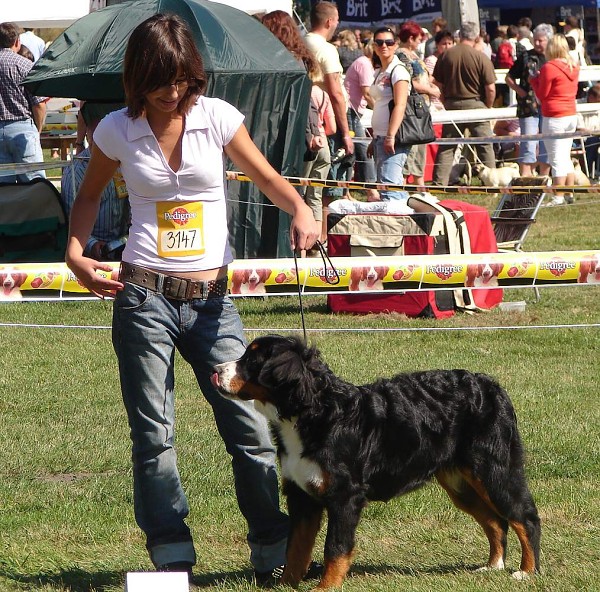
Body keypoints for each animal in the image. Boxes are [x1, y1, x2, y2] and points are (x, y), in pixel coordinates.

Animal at [211, 336, 540, 588]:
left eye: (253, 360)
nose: (215, 369)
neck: (312, 413)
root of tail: (491, 385)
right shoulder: (301, 494)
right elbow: (296, 548)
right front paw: (286, 585)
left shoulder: (345, 495)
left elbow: (335, 547)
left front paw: (326, 587)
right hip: (460, 482)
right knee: (496, 522)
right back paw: (493, 565)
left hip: (494, 470)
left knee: (525, 517)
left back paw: (527, 571)